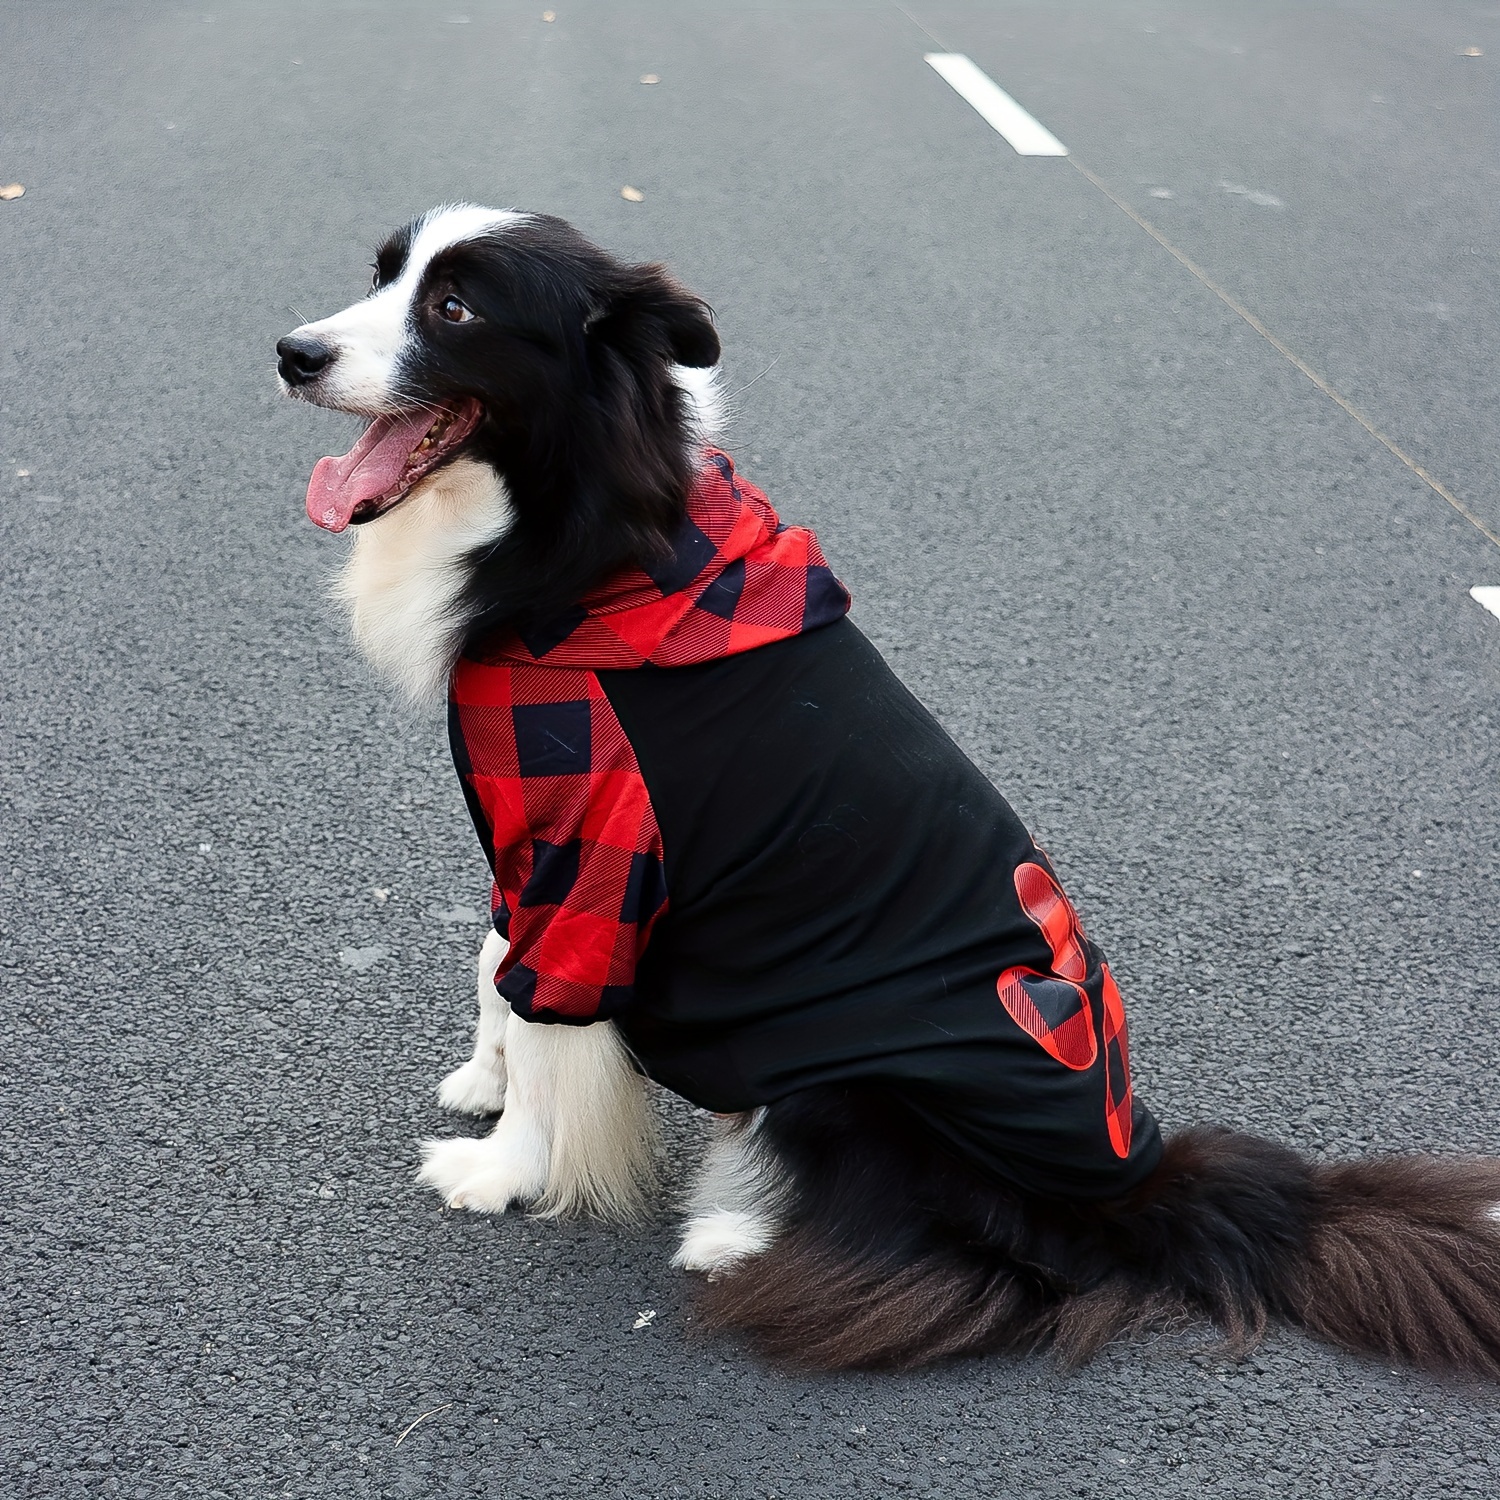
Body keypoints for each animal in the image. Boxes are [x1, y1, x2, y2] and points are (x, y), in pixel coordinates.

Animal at [276, 205, 1500, 1374]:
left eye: (455, 309)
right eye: (384, 275)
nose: (292, 352)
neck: (577, 543)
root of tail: (1129, 1199)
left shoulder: (597, 851)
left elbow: (542, 1017)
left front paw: (502, 1172)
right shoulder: (535, 832)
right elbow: (497, 969)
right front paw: (482, 1082)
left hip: (852, 1079)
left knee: (960, 1266)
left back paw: (735, 1233)